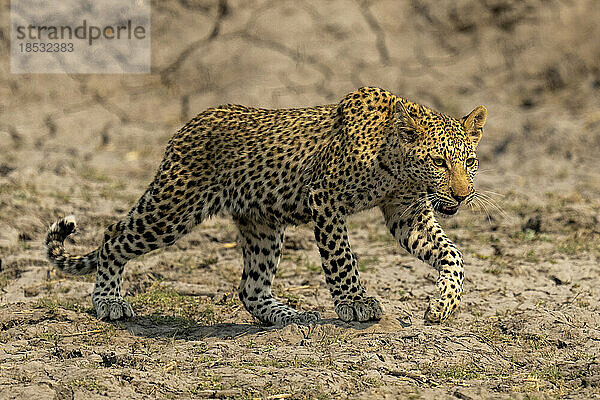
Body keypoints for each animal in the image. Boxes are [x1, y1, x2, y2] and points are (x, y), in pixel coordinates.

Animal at [45, 87, 488, 324]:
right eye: (439, 162)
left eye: (469, 161)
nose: (463, 195)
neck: (398, 167)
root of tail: (186, 126)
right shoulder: (325, 198)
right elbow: (341, 257)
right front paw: (355, 302)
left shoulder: (406, 215)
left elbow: (453, 255)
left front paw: (443, 305)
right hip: (172, 208)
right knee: (112, 236)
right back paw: (108, 301)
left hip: (261, 224)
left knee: (250, 287)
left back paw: (290, 316)